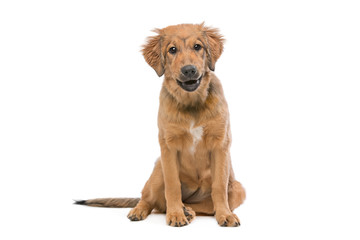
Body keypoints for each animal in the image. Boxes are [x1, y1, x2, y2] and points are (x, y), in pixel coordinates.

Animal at [75, 23, 245, 228]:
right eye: (172, 50)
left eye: (198, 47)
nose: (189, 70)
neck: (191, 105)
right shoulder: (168, 146)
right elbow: (172, 186)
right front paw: (176, 214)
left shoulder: (220, 145)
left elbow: (218, 187)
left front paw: (225, 214)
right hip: (158, 169)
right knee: (151, 200)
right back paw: (146, 210)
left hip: (238, 188)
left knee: (201, 204)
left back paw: (189, 210)